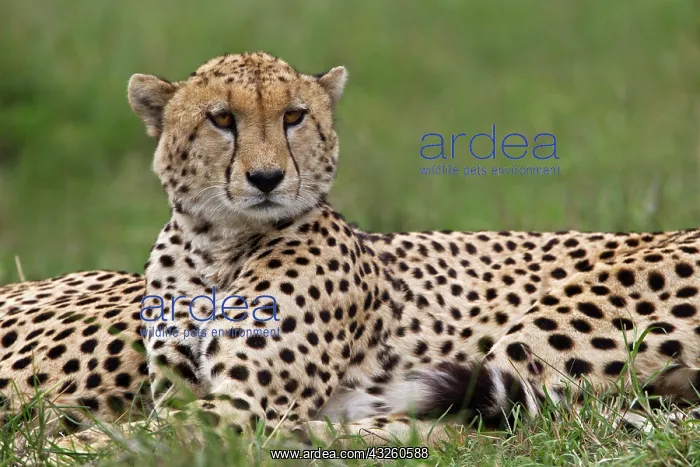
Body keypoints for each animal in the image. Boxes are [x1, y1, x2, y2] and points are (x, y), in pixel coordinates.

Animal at [2, 51, 700, 450]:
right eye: (222, 119)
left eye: (294, 116)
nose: (266, 179)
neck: (217, 245)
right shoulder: (180, 387)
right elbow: (150, 423)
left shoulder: (242, 400)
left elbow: (130, 437)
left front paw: (60, 448)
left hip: (548, 327)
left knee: (491, 422)